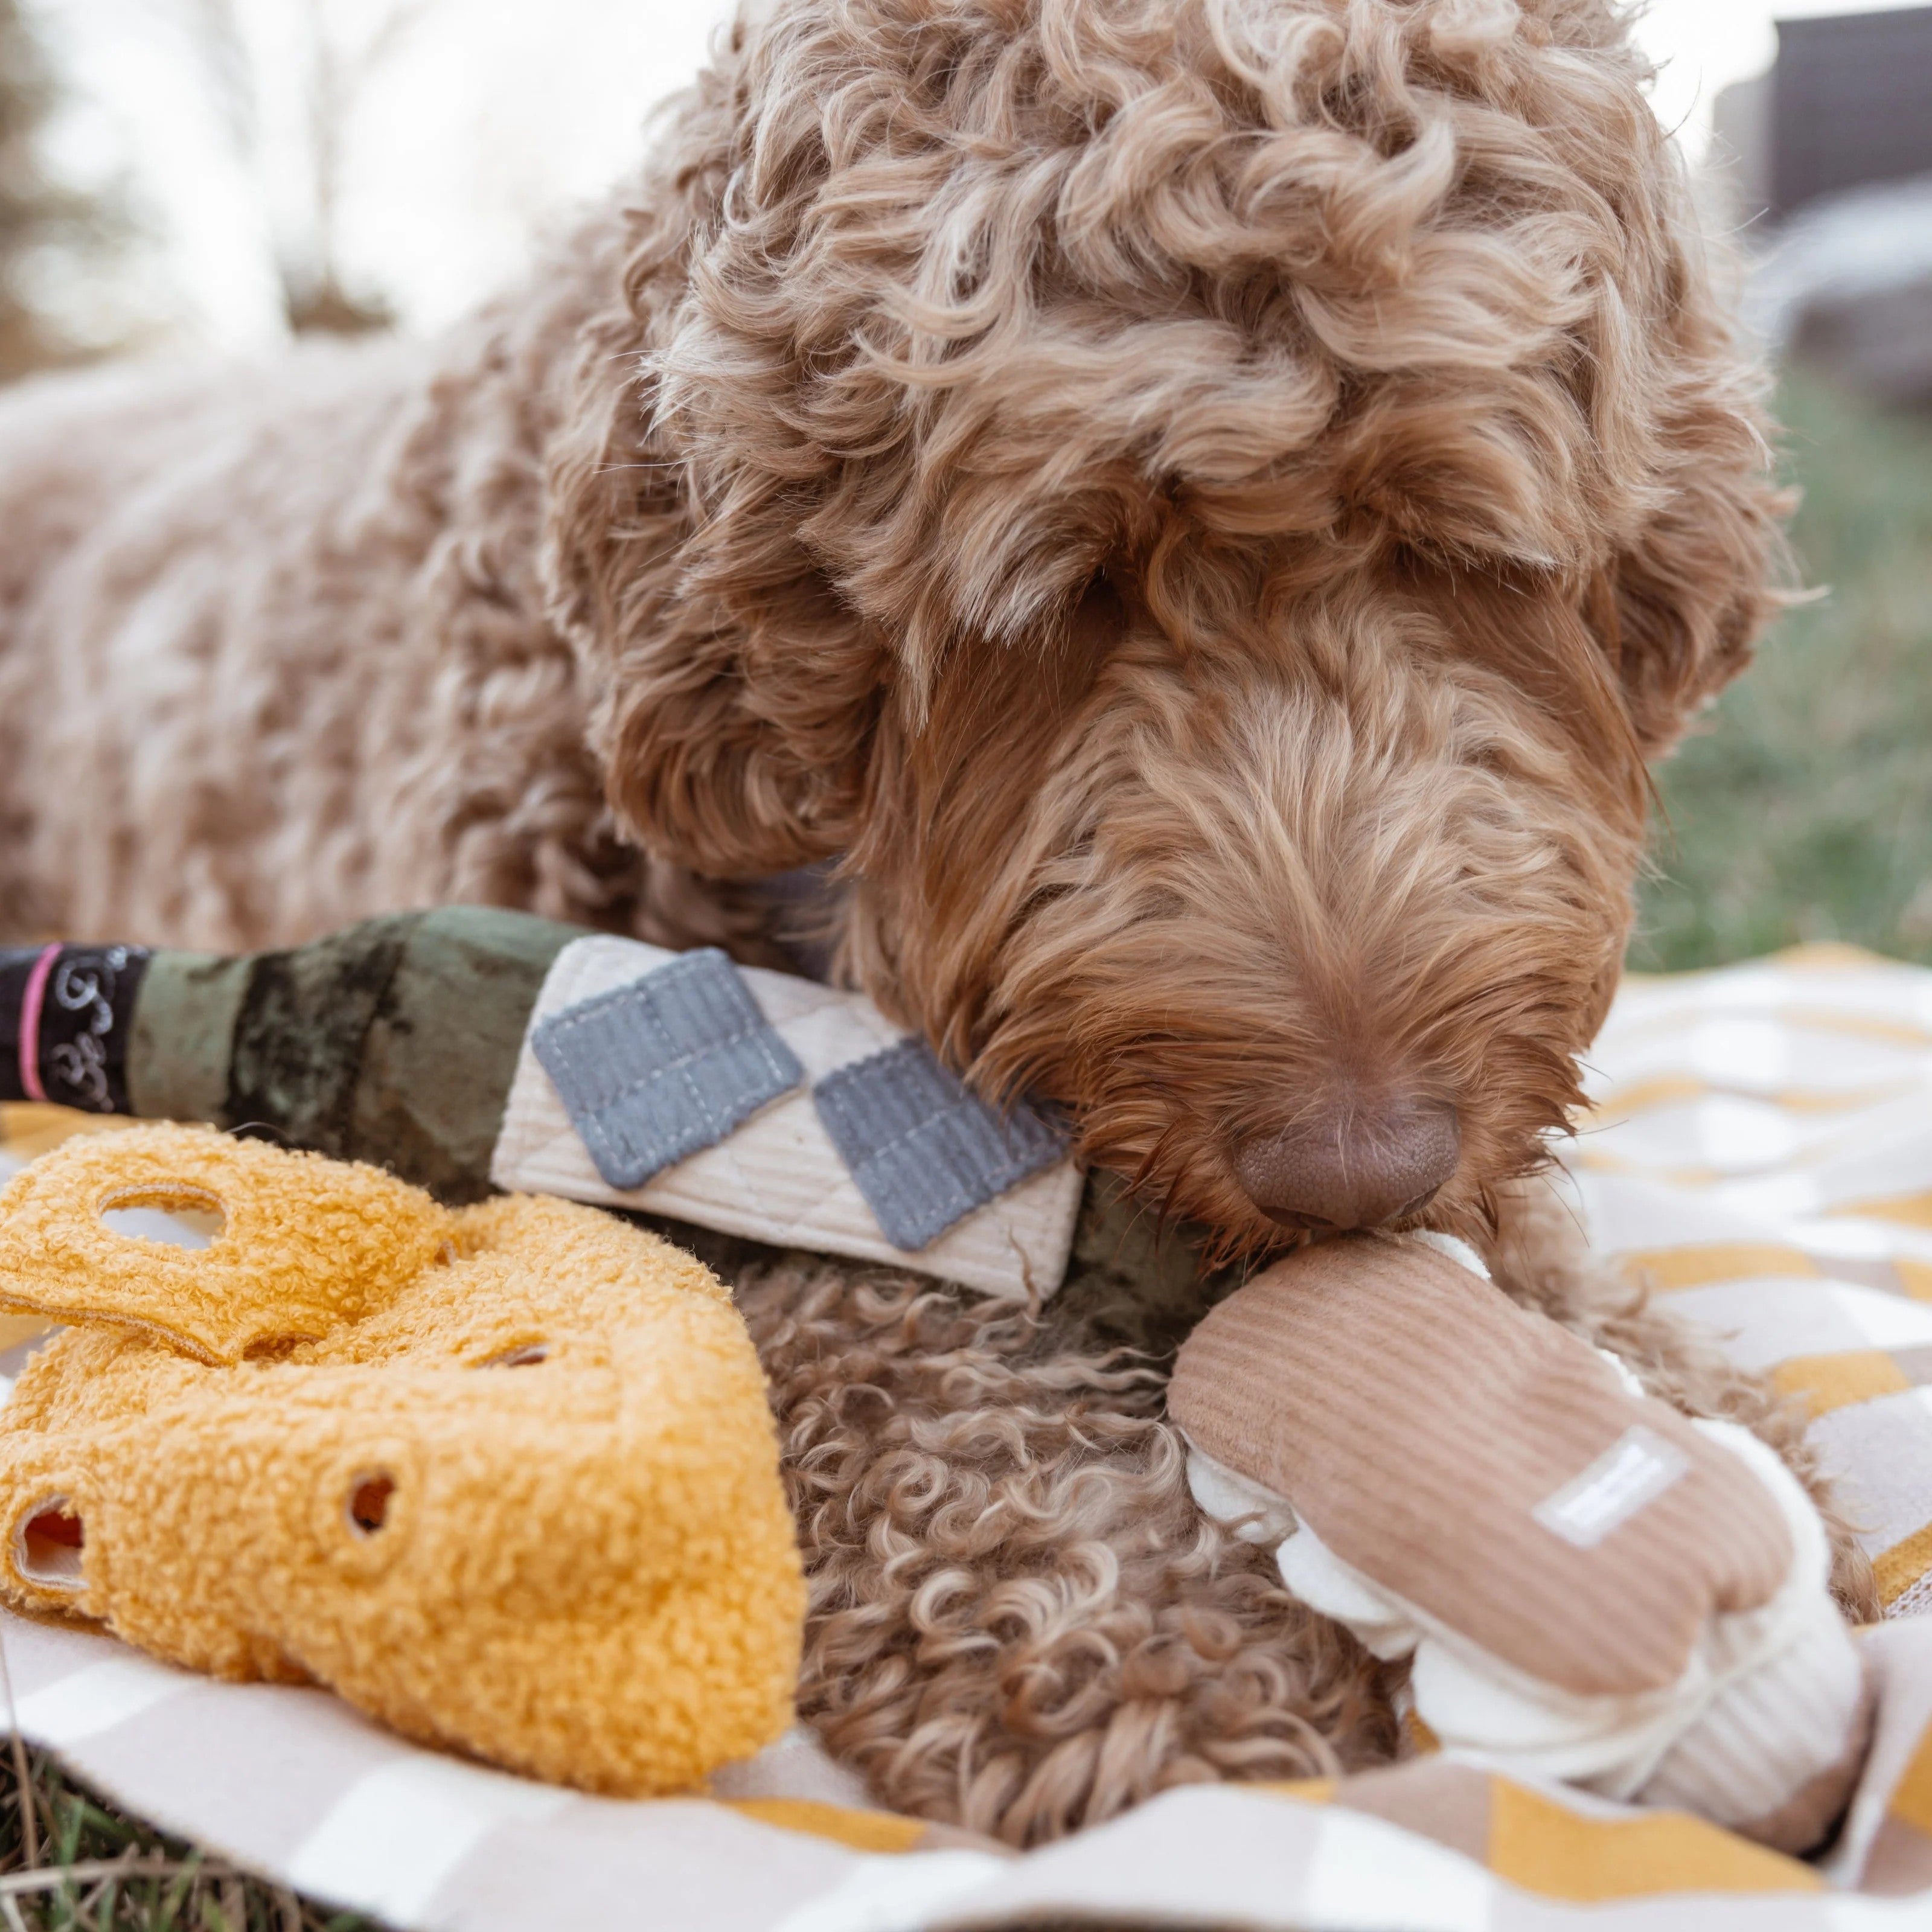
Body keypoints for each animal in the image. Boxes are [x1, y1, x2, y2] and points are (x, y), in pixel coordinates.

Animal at [0, 0, 1862, 1847]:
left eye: (1459, 548)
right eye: (1068, 589)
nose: (1355, 1172)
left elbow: (1525, 1239)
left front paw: (1676, 1415)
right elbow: (871, 1330)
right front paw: (1143, 1633)